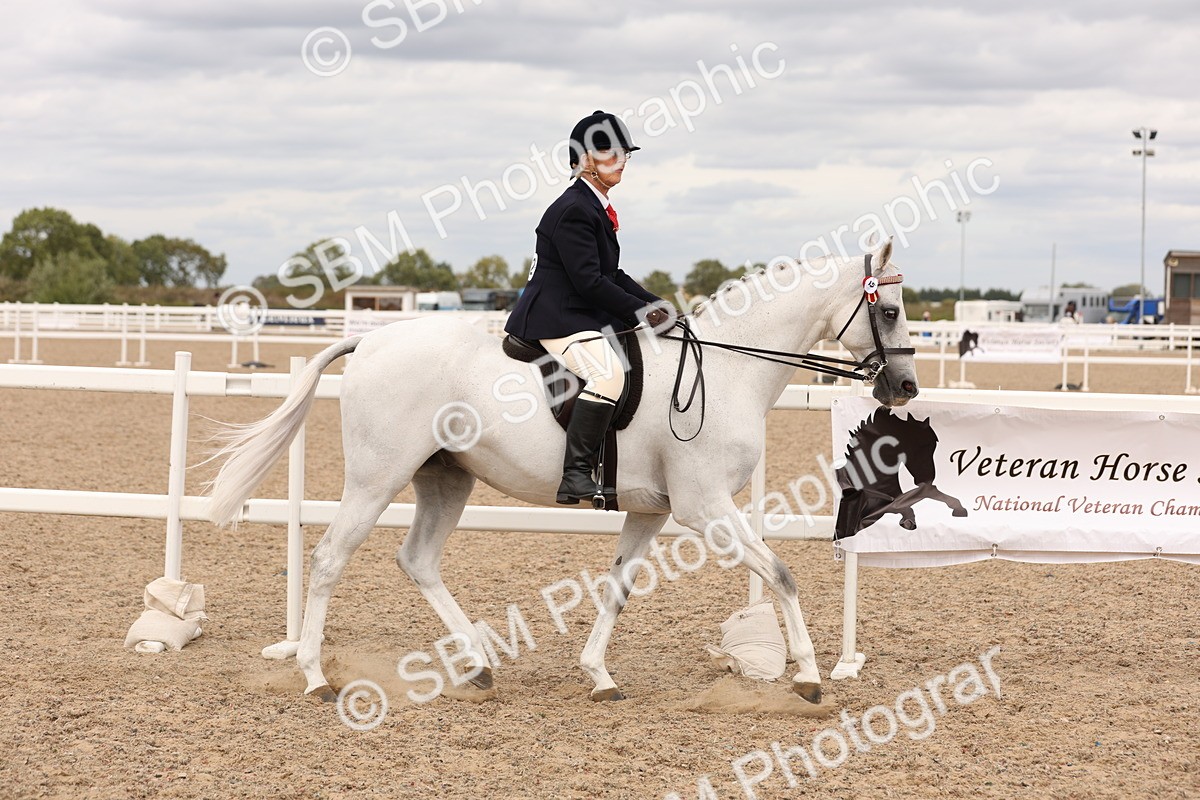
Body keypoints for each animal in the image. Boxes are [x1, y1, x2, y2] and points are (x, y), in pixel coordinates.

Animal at [205, 238, 919, 705]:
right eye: (887, 311)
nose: (905, 387)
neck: (726, 369)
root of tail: (373, 338)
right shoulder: (705, 507)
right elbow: (781, 573)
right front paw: (809, 676)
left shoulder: (651, 509)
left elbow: (618, 588)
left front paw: (598, 675)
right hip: (377, 478)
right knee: (330, 558)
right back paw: (315, 676)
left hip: (446, 477)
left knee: (418, 560)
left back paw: (478, 665)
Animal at [834, 408, 968, 537]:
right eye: (921, 445)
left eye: (934, 445)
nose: (928, 477)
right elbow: (909, 506)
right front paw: (908, 523)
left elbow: (929, 493)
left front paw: (959, 508)